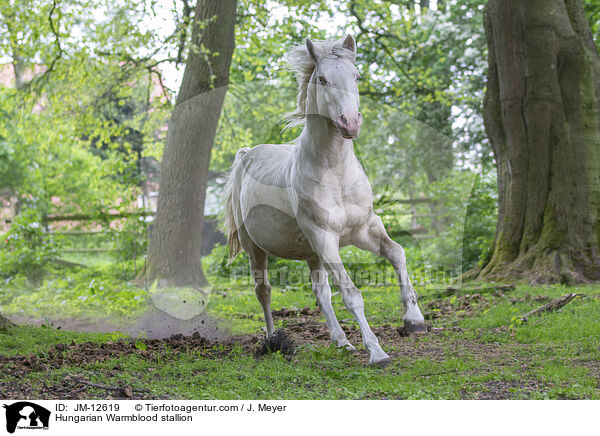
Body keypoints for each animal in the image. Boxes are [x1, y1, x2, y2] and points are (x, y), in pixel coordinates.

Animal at [225, 35, 426, 366]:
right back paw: (273, 341)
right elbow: (352, 294)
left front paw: (414, 320)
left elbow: (397, 254)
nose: (350, 122)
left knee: (321, 293)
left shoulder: (365, 230)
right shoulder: (325, 238)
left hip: (312, 254)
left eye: (356, 76)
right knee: (263, 291)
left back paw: (342, 342)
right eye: (322, 78)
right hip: (257, 248)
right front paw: (377, 352)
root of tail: (245, 155)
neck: (336, 173)